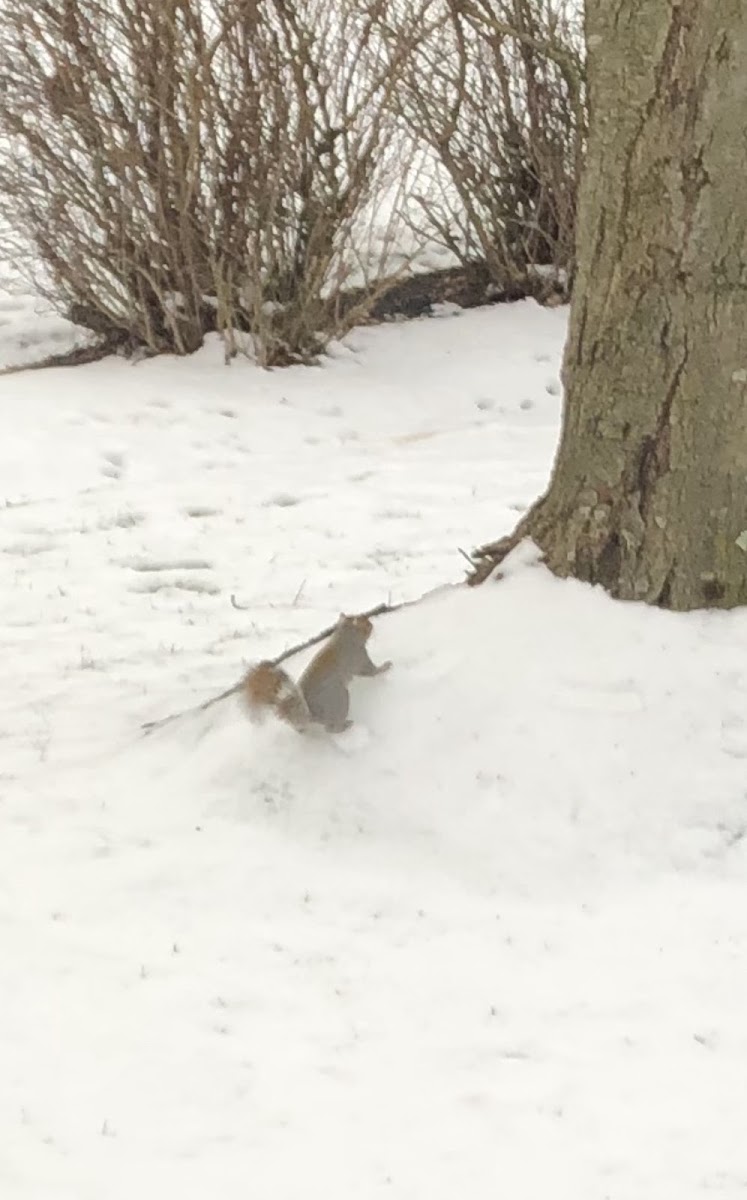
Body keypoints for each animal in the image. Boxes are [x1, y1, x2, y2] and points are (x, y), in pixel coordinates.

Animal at [242, 619, 391, 729]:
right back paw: (344, 726)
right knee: (330, 727)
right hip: (339, 699)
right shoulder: (359, 657)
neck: (344, 637)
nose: (372, 624)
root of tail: (311, 715)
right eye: (364, 624)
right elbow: (370, 671)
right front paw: (384, 667)